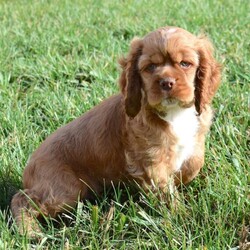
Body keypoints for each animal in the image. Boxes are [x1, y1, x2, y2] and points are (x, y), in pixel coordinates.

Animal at [10, 26, 221, 235]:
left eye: (185, 64)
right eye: (150, 67)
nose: (166, 82)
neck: (174, 114)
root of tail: (30, 163)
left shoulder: (194, 140)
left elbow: (194, 162)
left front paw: (182, 178)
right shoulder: (151, 161)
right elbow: (165, 189)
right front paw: (181, 216)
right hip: (65, 189)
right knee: (22, 199)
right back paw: (30, 232)